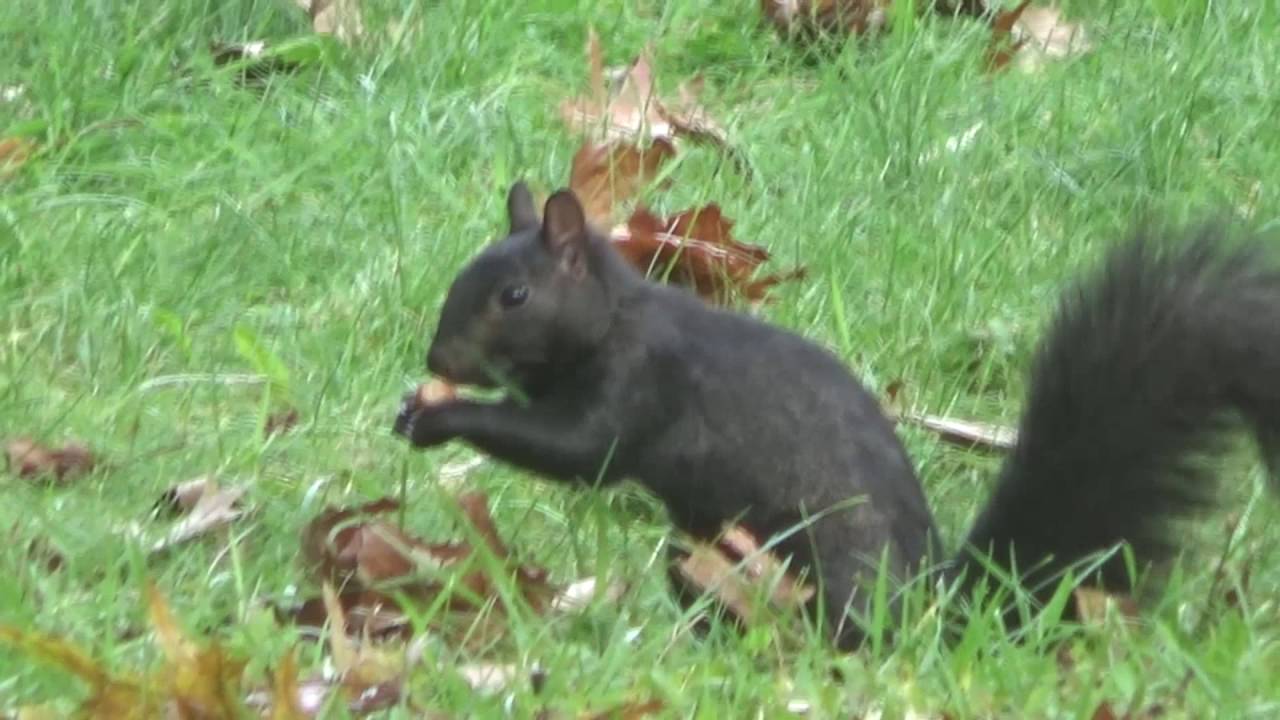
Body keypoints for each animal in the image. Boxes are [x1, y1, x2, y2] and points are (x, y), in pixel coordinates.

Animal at [394, 182, 1280, 648]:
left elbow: (579, 451)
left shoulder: (641, 381)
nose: (438, 359)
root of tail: (935, 610)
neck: (614, 318)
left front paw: (441, 419)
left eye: (515, 296)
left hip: (831, 566)